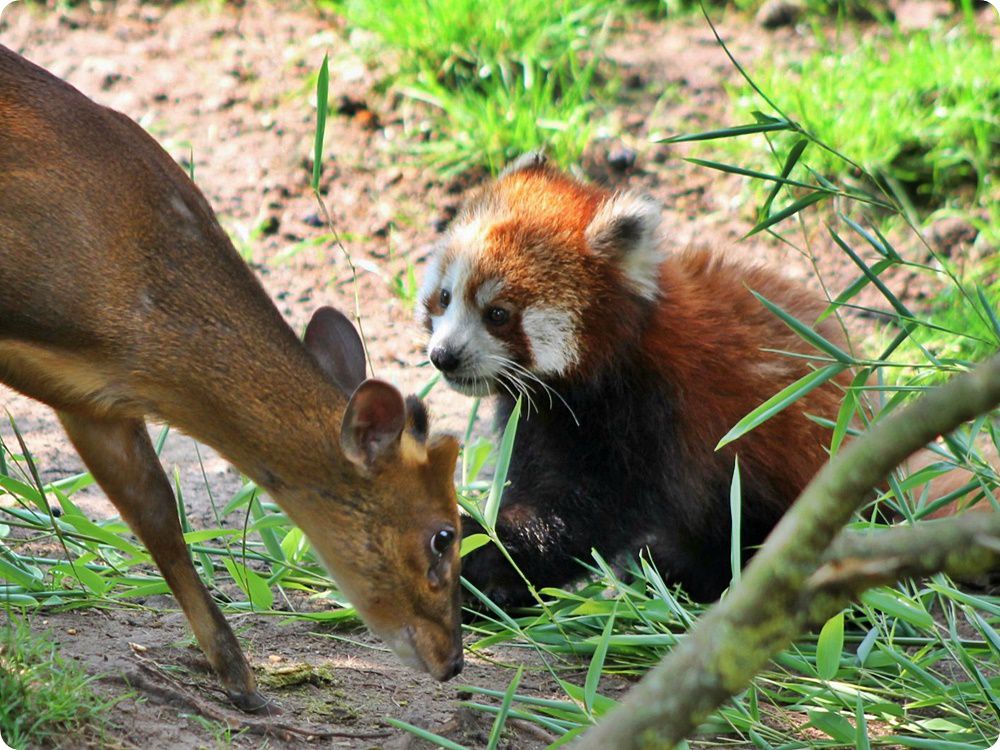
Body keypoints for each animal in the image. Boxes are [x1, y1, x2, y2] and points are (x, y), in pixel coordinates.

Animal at [417, 153, 851, 604]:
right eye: (445, 297)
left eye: (498, 314)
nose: (444, 356)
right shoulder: (536, 421)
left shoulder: (649, 414)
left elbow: (582, 516)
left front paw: (486, 551)